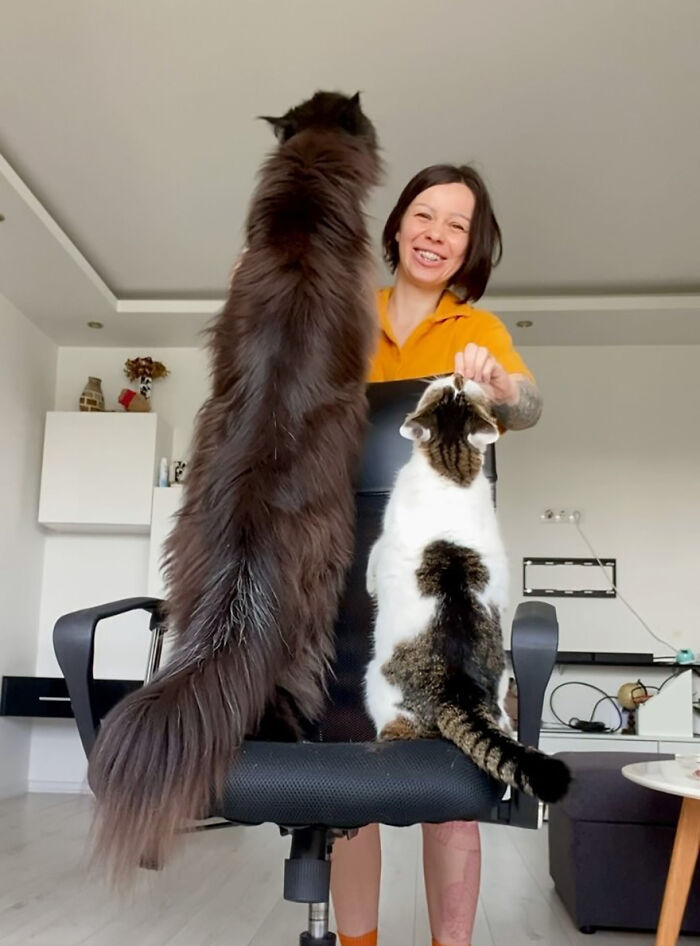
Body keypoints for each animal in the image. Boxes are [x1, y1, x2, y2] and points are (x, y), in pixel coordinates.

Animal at [364, 372, 572, 800]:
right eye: (453, 390)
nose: (459, 374)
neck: (450, 463)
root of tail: (457, 691)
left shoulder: (383, 539)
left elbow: (372, 559)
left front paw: (370, 586)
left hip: (373, 684)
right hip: (503, 698)